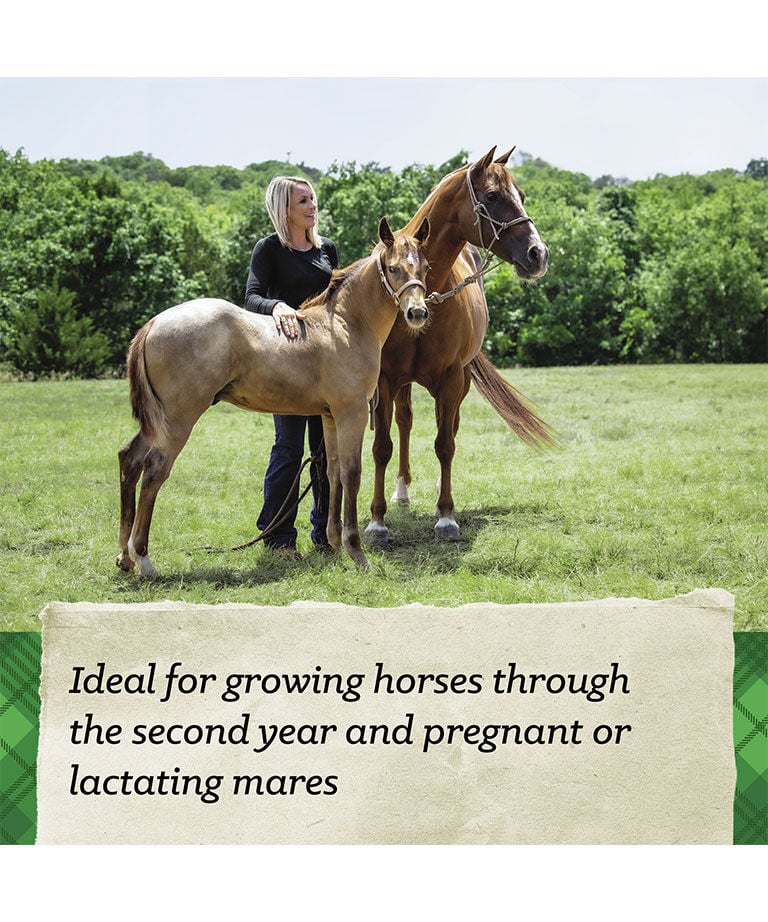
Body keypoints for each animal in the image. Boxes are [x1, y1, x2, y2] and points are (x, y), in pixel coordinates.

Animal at [117, 216, 430, 577]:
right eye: (393, 269)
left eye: (424, 267)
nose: (418, 313)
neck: (344, 325)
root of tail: (153, 324)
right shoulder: (352, 413)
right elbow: (352, 474)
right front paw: (356, 552)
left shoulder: (329, 417)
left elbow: (332, 473)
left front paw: (334, 543)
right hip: (177, 421)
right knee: (154, 471)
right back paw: (143, 559)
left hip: (158, 423)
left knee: (129, 459)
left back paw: (124, 556)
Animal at [363, 145, 555, 546]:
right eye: (493, 196)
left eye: (522, 195)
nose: (538, 254)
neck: (425, 295)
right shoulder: (385, 380)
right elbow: (382, 446)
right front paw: (376, 522)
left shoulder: (452, 379)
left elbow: (444, 443)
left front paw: (446, 516)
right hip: (403, 385)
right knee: (405, 421)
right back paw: (402, 489)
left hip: (460, 380)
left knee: (447, 427)